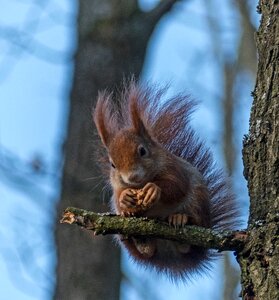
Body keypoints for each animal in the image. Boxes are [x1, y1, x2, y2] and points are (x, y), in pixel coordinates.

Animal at [93, 79, 240, 278]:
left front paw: (153, 189)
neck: (141, 183)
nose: (132, 177)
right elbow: (117, 197)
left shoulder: (175, 169)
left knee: (190, 235)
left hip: (198, 203)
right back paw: (140, 240)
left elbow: (176, 186)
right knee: (144, 250)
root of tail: (169, 254)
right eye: (112, 165)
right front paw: (125, 199)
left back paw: (180, 219)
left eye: (142, 151)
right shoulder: (117, 187)